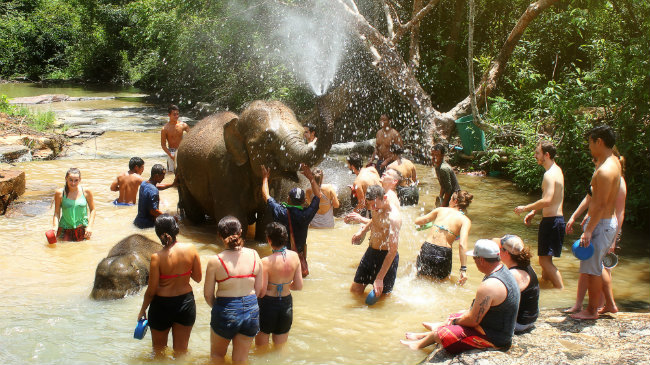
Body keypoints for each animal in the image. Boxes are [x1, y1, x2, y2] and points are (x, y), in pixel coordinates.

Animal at [178, 96, 336, 240]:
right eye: (268, 139)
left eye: (303, 133)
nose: (320, 96)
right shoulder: (221, 171)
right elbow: (235, 218)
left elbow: (267, 219)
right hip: (181, 174)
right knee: (194, 213)